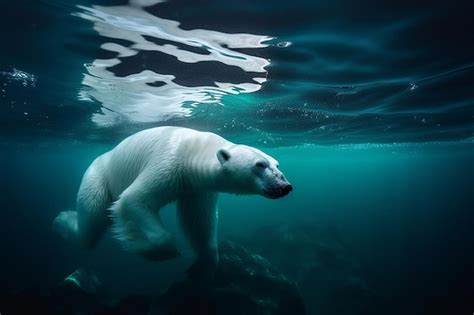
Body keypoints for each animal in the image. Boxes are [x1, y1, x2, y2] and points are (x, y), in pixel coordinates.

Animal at [55, 126, 292, 276]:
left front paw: (201, 267)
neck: (193, 148)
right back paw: (61, 220)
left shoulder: (196, 187)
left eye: (277, 164)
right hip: (98, 177)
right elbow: (134, 199)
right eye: (259, 165)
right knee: (90, 225)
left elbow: (198, 223)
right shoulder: (168, 162)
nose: (285, 186)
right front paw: (156, 251)